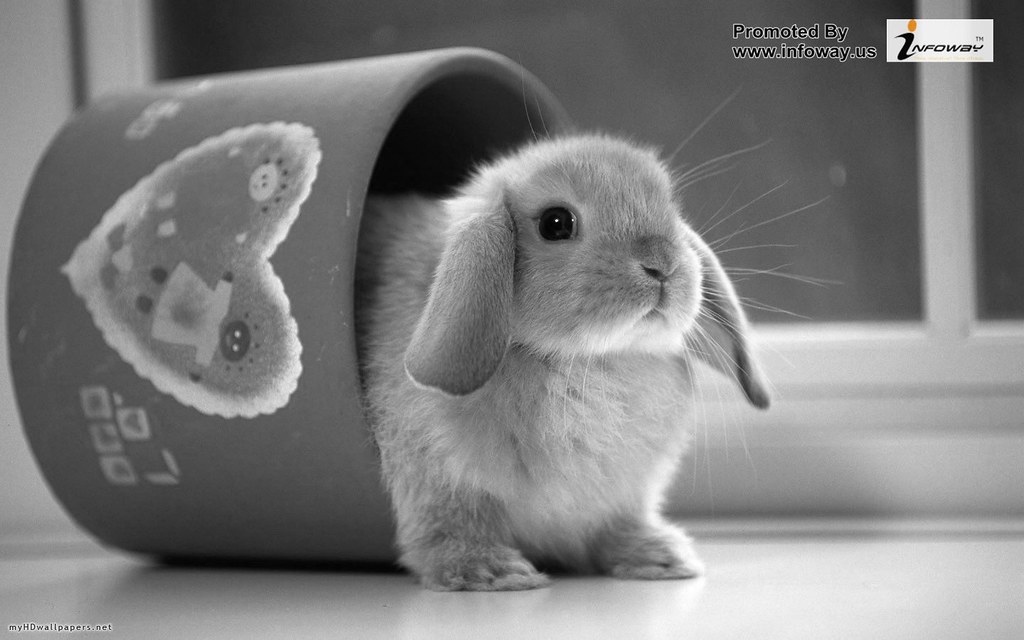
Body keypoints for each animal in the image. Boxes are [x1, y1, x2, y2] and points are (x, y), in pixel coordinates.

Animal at [354, 133, 770, 591]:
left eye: (671, 209)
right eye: (556, 223)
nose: (663, 265)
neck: (586, 361)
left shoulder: (623, 498)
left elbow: (618, 527)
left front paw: (662, 558)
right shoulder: (439, 483)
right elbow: (448, 528)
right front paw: (493, 571)